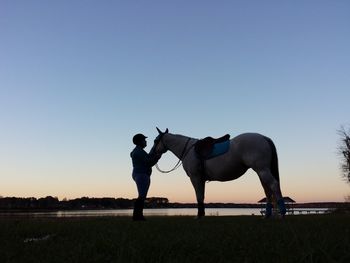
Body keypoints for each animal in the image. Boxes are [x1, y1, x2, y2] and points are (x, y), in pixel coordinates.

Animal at [151, 128, 288, 219]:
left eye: (155, 141)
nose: (152, 154)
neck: (189, 151)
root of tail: (264, 137)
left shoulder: (195, 178)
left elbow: (198, 196)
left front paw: (199, 216)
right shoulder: (200, 179)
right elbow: (202, 196)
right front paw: (202, 214)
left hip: (262, 170)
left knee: (274, 185)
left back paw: (282, 213)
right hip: (261, 172)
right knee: (267, 190)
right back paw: (267, 215)